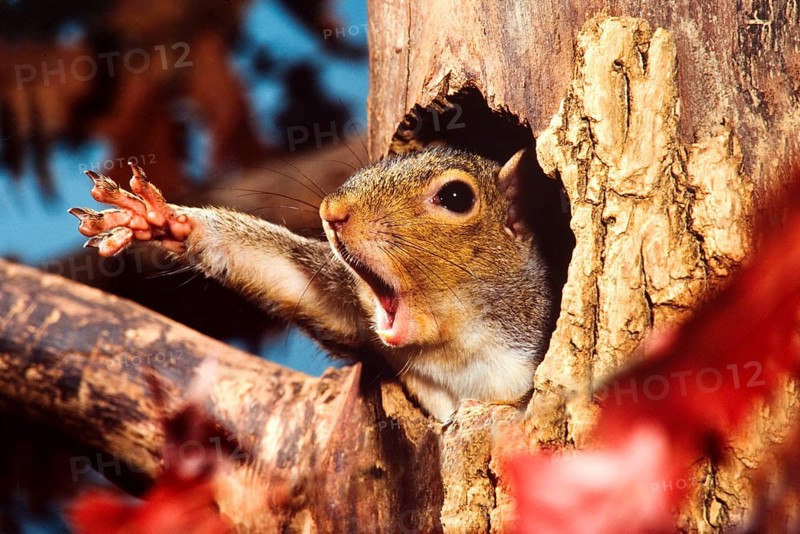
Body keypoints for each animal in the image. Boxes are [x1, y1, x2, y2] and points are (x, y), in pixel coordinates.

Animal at [69, 147, 554, 421]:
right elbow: (284, 272)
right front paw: (158, 219)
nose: (332, 212)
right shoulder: (359, 321)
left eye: (456, 197)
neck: (457, 342)